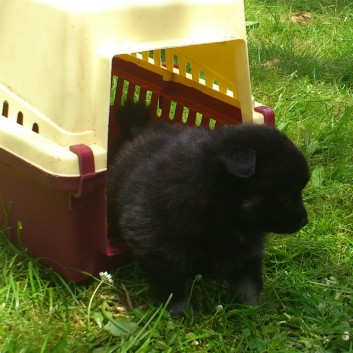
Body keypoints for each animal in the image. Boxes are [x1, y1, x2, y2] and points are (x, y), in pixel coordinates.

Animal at [107, 100, 308, 314]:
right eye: (284, 196)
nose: (305, 220)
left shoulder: (247, 245)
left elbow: (249, 280)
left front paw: (255, 307)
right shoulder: (155, 242)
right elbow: (171, 281)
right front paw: (180, 309)